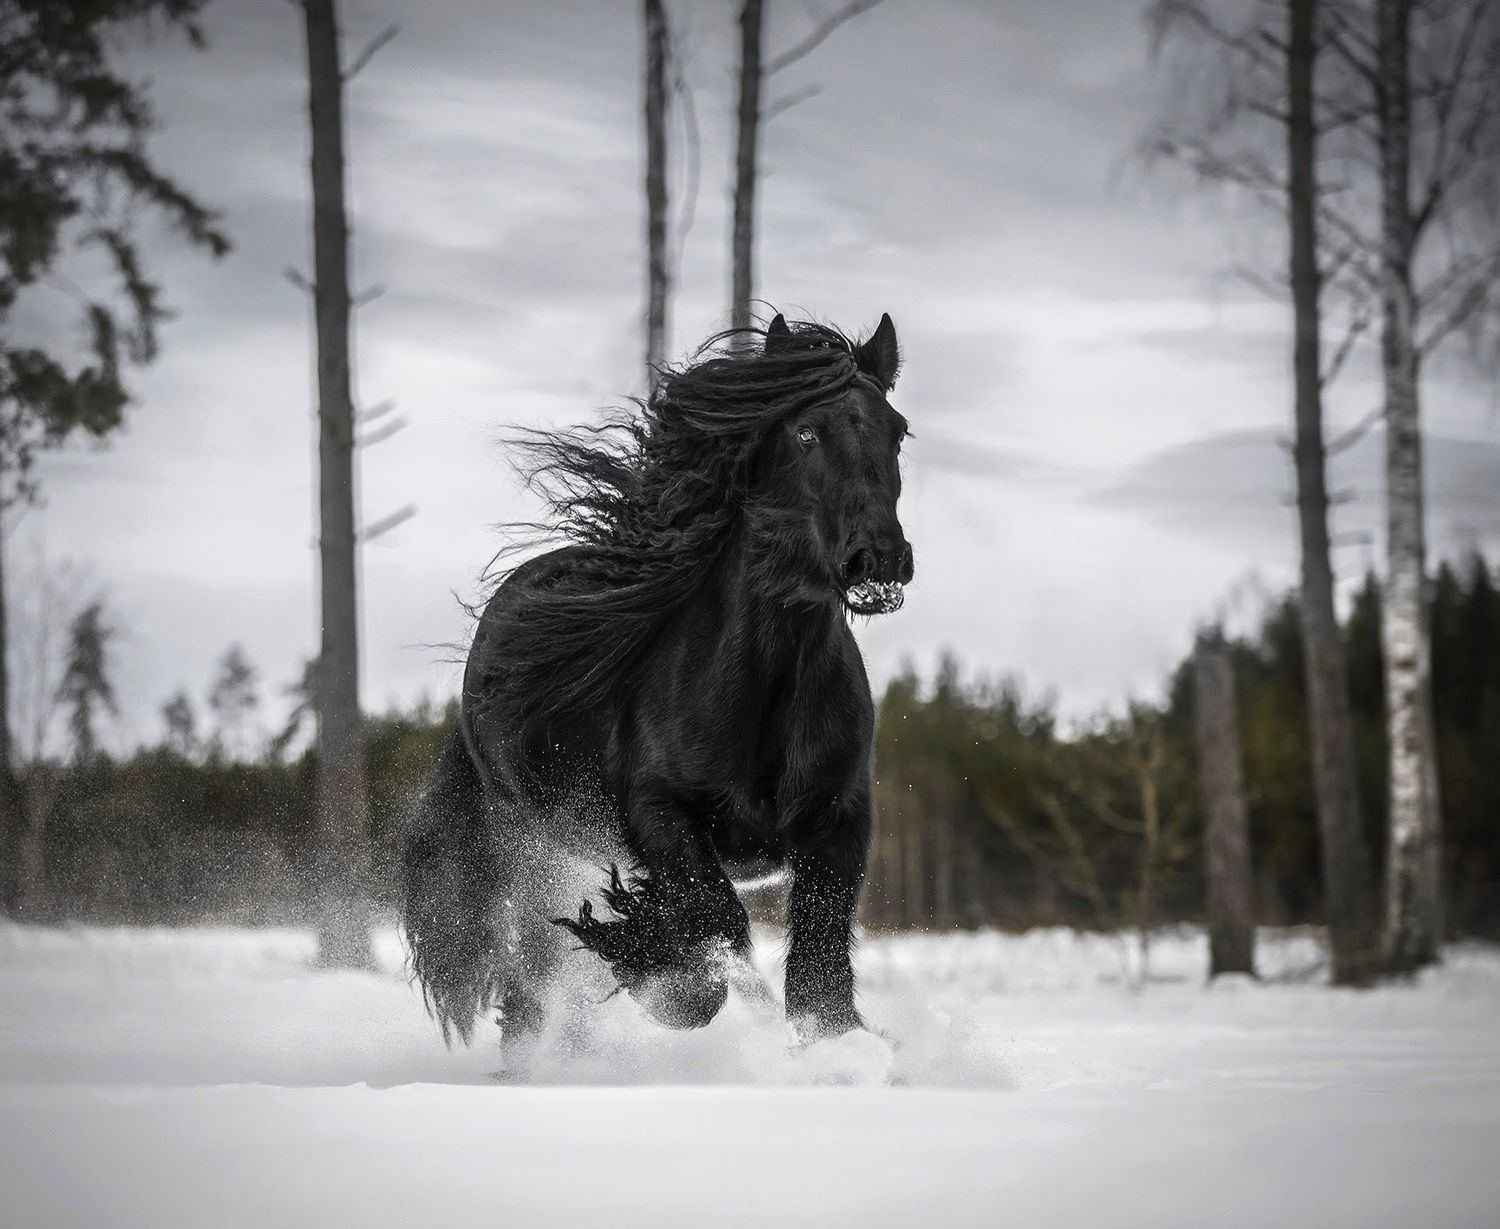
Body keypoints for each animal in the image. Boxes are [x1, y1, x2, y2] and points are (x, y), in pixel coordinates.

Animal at [399, 312, 913, 1049]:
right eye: (806, 433)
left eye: (897, 430)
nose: (879, 560)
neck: (766, 692)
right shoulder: (660, 812)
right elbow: (714, 936)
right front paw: (655, 970)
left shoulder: (839, 820)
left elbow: (820, 972)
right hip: (528, 849)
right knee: (530, 991)